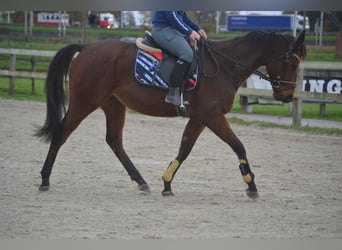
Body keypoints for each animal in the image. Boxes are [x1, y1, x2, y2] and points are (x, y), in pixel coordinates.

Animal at [36, 30, 306, 197]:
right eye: (293, 63)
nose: (287, 96)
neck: (224, 65)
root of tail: (86, 48)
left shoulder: (200, 117)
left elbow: (185, 148)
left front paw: (166, 182)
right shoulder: (213, 116)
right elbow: (238, 145)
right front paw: (251, 184)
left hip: (113, 105)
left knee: (114, 141)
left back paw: (141, 181)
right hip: (85, 102)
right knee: (61, 133)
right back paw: (45, 179)